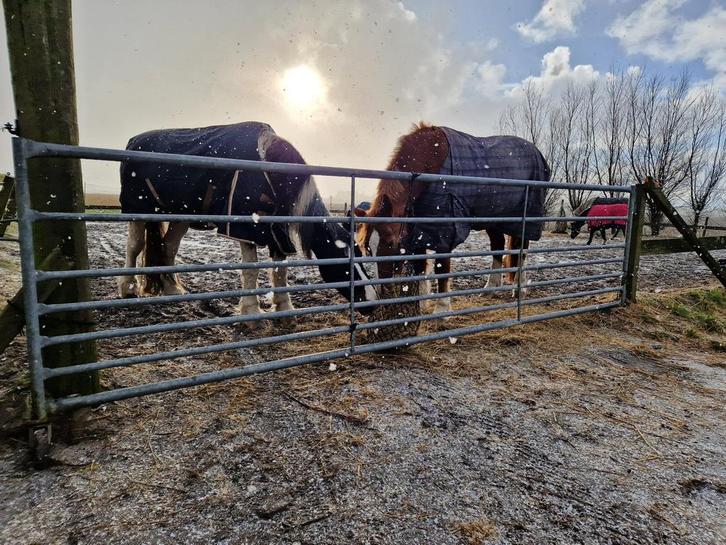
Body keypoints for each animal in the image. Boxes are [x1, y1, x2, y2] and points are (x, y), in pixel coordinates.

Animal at [118, 121, 377, 319]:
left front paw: (284, 308)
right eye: (343, 263)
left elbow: (280, 270)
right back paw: (128, 288)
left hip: (179, 215)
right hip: (138, 209)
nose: (371, 302)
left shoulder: (277, 231)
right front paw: (251, 312)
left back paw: (172, 288)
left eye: (361, 255)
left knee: (168, 246)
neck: (270, 169)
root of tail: (132, 142)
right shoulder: (246, 227)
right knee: (135, 246)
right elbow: (251, 269)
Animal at [356, 123, 550, 313]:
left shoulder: (445, 230)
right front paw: (421, 304)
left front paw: (441, 309)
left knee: (521, 250)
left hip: (524, 218)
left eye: (390, 243)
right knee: (498, 246)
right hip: (493, 220)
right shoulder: (419, 230)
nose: (381, 293)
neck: (431, 162)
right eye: (368, 249)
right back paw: (490, 288)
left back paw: (519, 290)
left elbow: (441, 268)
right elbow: (420, 266)